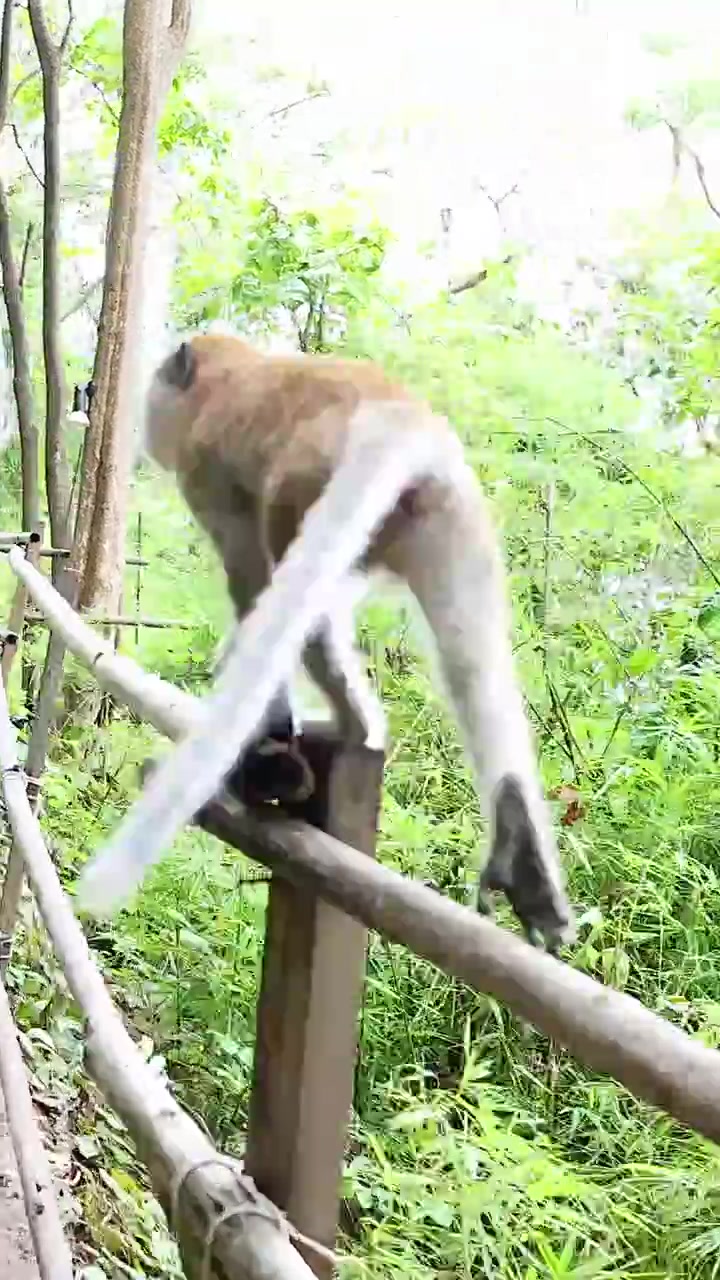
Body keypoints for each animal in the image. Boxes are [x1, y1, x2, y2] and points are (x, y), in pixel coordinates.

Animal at [77, 334, 575, 951]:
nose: (148, 429)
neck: (233, 373)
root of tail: (395, 418)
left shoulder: (208, 475)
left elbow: (253, 586)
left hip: (304, 492)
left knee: (304, 611)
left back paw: (341, 734)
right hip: (451, 516)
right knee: (473, 660)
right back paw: (518, 841)